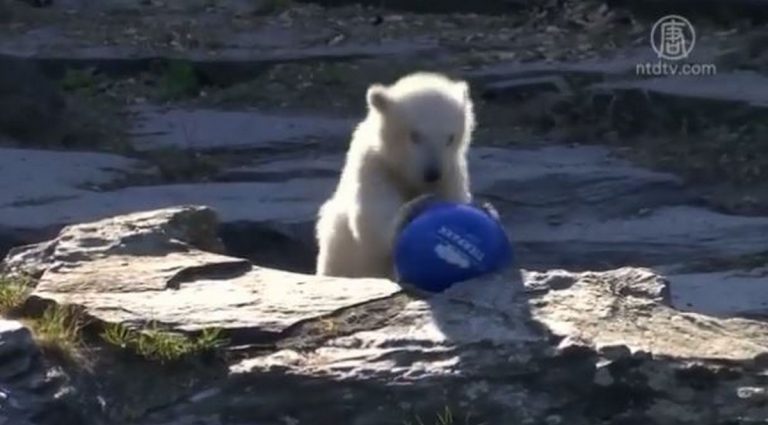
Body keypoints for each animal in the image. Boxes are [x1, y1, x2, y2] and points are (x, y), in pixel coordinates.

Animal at [315, 71, 476, 280]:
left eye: (450, 138)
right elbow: (373, 224)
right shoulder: (375, 166)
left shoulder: (451, 171)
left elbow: (456, 198)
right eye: (415, 135)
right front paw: (414, 208)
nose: (432, 173)